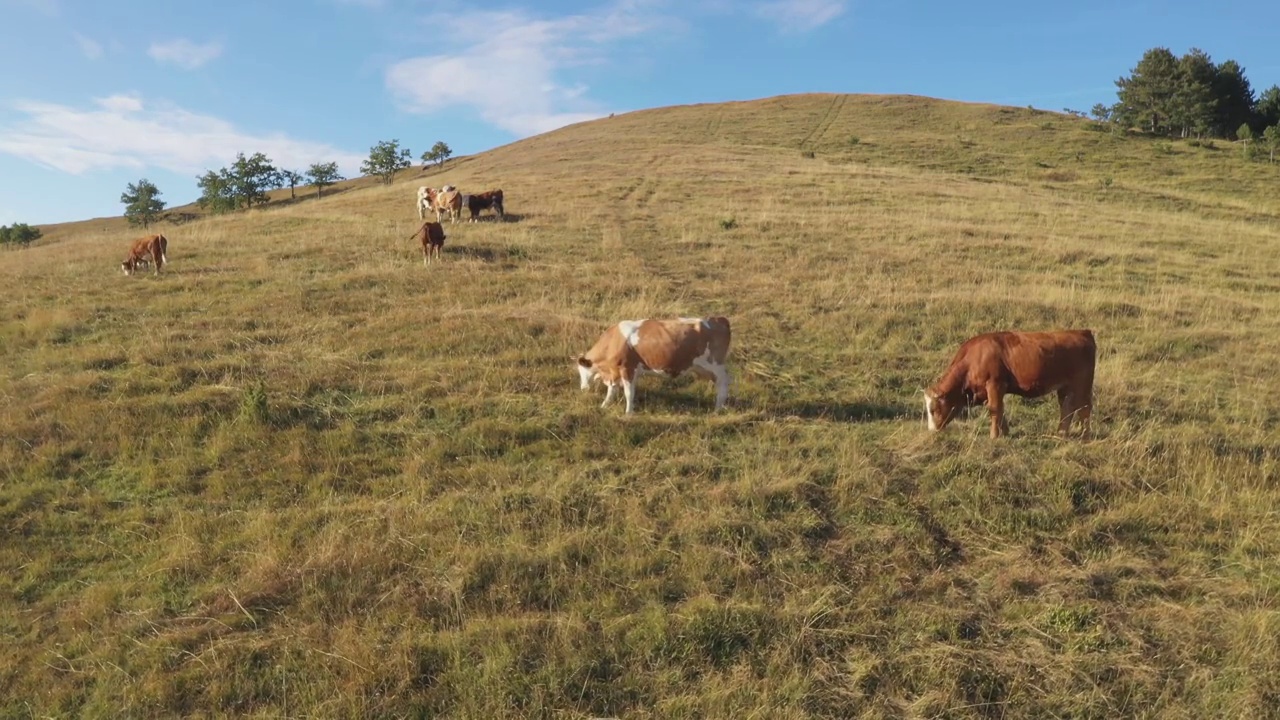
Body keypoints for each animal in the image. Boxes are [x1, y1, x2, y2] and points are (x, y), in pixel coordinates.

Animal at [573, 315, 732, 412]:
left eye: (581, 371)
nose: (583, 388)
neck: (614, 340)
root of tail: (719, 319)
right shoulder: (615, 372)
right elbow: (612, 391)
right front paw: (604, 406)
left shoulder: (627, 368)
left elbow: (628, 393)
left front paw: (628, 413)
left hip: (716, 365)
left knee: (724, 382)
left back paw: (718, 408)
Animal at [926, 326, 1095, 438]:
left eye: (933, 410)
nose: (932, 430)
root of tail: (1083, 332)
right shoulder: (989, 391)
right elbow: (999, 410)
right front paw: (1005, 432)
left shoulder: (995, 384)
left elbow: (995, 409)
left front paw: (994, 436)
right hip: (1066, 387)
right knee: (1067, 407)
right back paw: (1060, 434)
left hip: (1083, 384)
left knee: (1084, 408)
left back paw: (1084, 435)